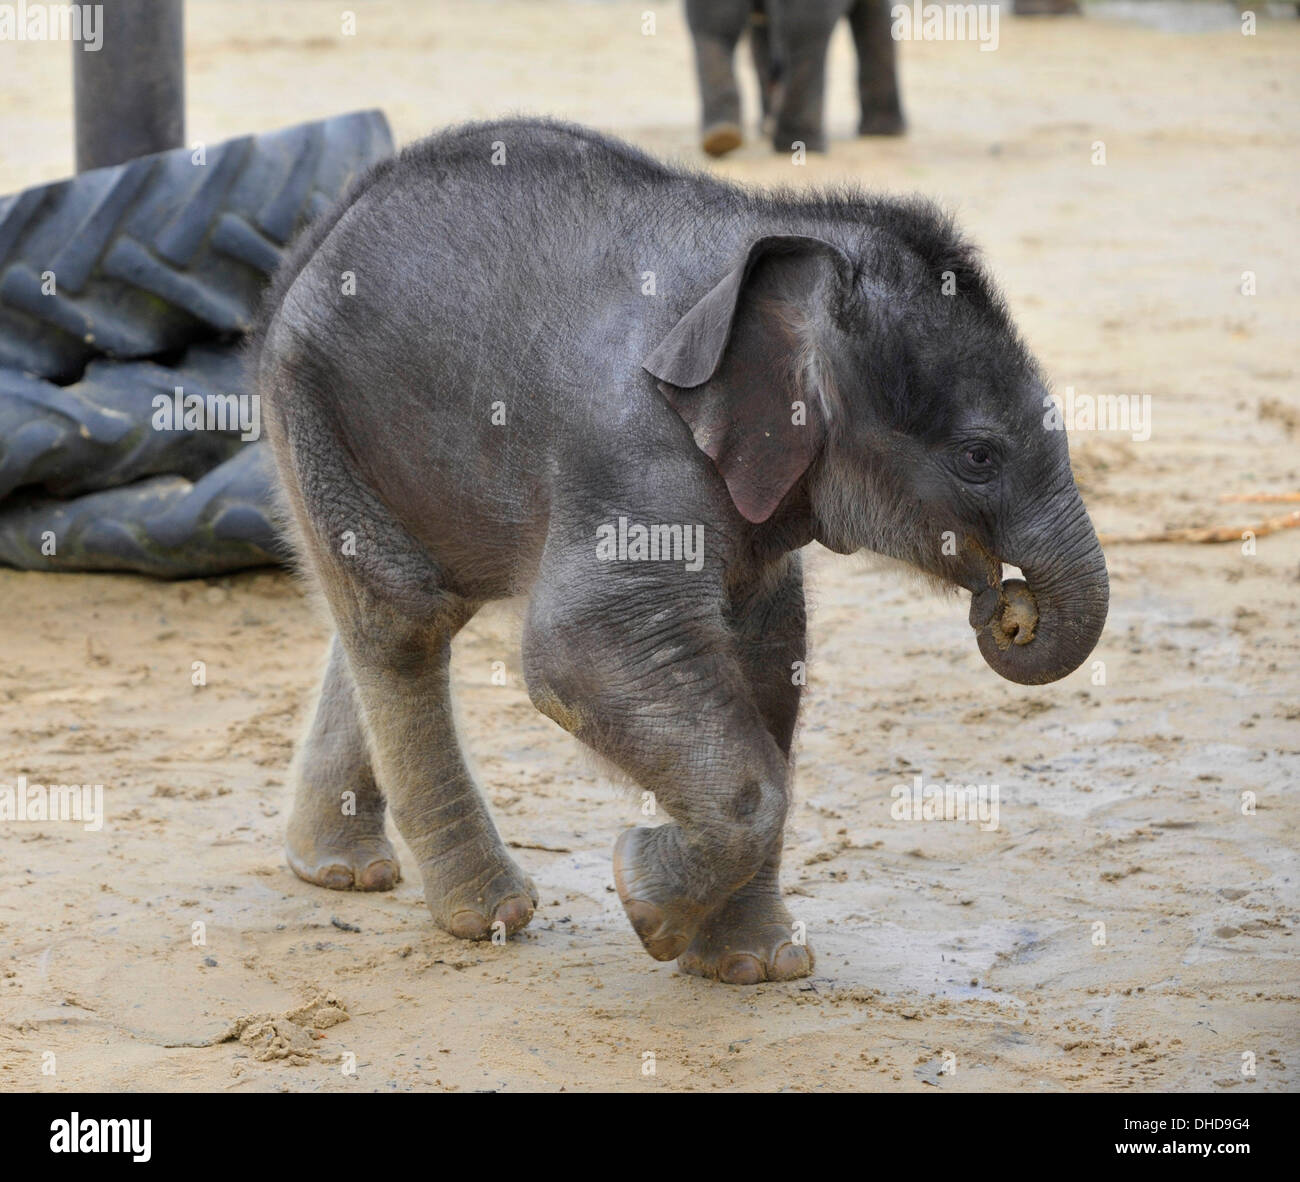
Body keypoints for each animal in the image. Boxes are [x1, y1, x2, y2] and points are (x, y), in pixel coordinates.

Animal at [253, 119, 1107, 988]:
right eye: (979, 457)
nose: (1007, 610)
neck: (788, 241)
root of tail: (323, 226)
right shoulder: (635, 453)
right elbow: (576, 649)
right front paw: (645, 901)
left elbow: (770, 654)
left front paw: (756, 965)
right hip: (313, 402)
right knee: (405, 618)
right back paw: (489, 914)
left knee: (406, 611)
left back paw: (339, 871)